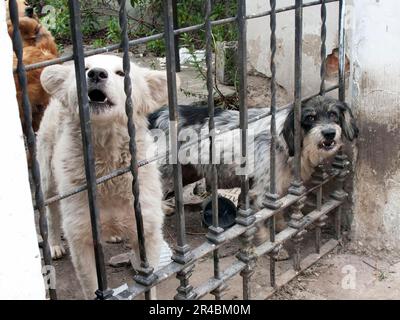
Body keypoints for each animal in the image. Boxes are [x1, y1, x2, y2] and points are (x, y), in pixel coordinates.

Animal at [36, 55, 168, 300]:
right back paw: (54, 244)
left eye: (121, 73)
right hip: (47, 176)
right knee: (50, 212)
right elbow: (91, 285)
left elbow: (149, 278)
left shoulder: (147, 227)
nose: (96, 74)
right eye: (84, 68)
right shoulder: (80, 238)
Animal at [148, 96, 358, 241]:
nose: (329, 133)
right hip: (164, 172)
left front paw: (282, 228)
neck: (284, 143)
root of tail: (154, 116)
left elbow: (278, 212)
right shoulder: (263, 191)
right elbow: (263, 220)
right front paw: (270, 244)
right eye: (310, 117)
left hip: (186, 172)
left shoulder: (279, 187)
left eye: (333, 115)